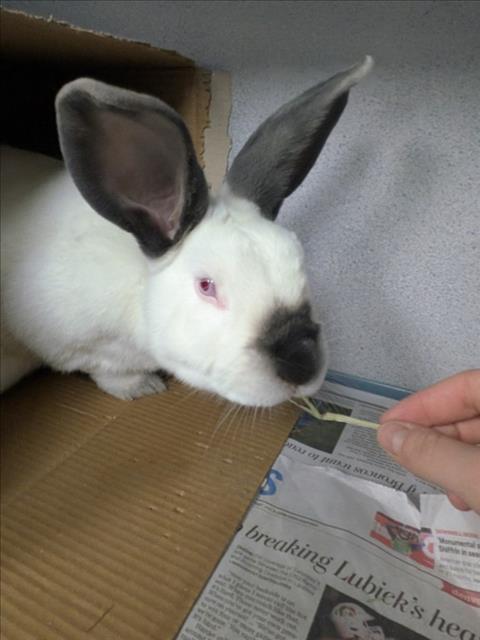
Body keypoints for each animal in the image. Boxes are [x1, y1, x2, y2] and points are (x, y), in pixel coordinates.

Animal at [0, 56, 373, 406]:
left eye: (299, 260)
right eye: (206, 286)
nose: (301, 362)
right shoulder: (78, 344)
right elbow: (107, 370)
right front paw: (144, 388)